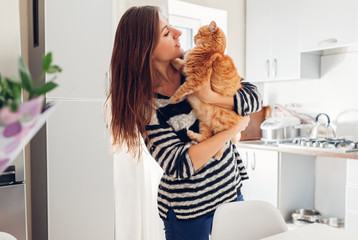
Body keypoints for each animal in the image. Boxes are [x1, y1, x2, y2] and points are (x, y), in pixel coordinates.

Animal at [170, 20, 243, 159]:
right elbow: (180, 64)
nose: (194, 37)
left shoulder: (196, 78)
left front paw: (173, 98)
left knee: (222, 141)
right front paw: (173, 60)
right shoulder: (188, 70)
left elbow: (182, 89)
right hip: (203, 123)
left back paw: (218, 155)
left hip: (221, 127)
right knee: (206, 137)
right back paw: (191, 134)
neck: (211, 49)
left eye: (199, 33)